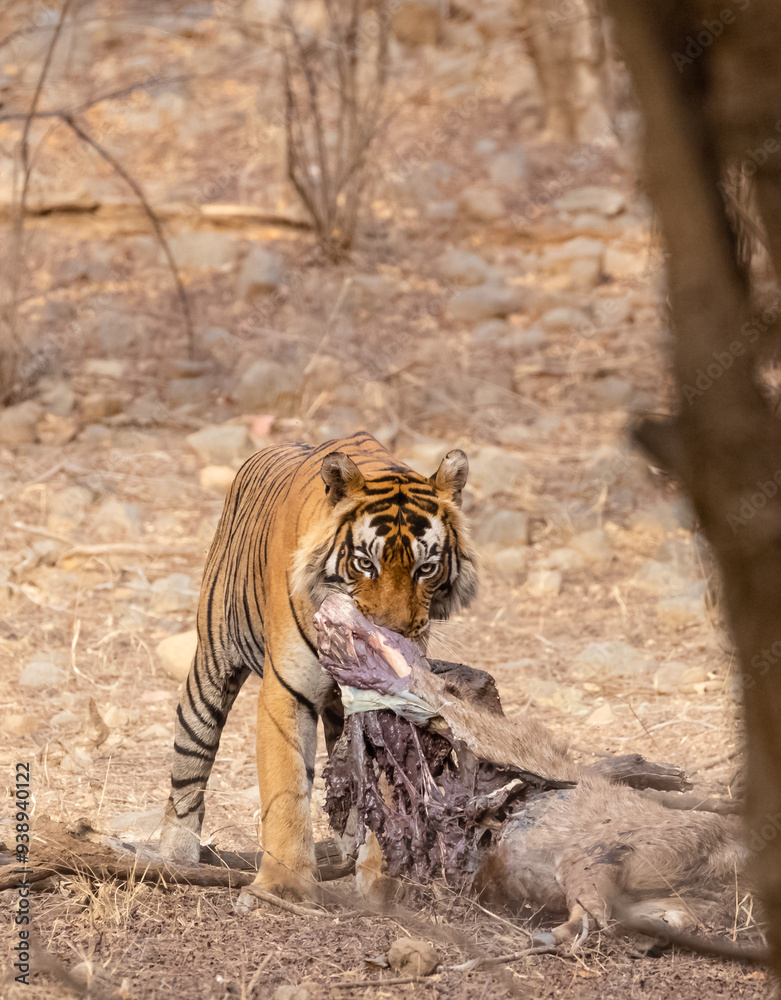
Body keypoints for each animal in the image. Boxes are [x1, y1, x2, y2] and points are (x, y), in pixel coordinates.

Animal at [158, 430, 477, 897]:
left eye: (426, 568)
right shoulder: (287, 689)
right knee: (192, 752)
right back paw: (177, 853)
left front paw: (382, 880)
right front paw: (285, 886)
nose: (391, 638)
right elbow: (286, 790)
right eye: (365, 563)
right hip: (212, 662)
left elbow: (383, 784)